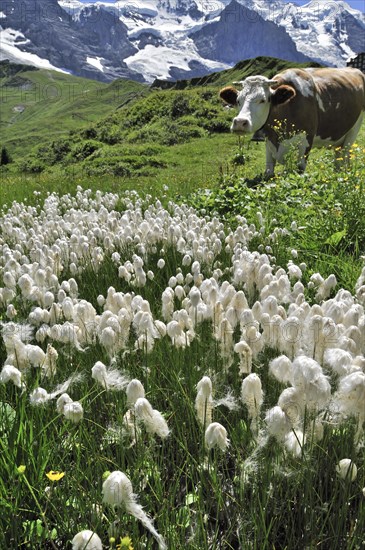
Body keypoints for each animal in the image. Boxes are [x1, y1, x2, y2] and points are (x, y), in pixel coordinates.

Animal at [219, 68, 364, 177]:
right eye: (238, 100)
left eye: (263, 100)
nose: (239, 122)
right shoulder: (269, 141)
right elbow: (268, 171)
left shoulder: (306, 140)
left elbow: (300, 169)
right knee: (338, 158)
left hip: (354, 129)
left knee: (346, 154)